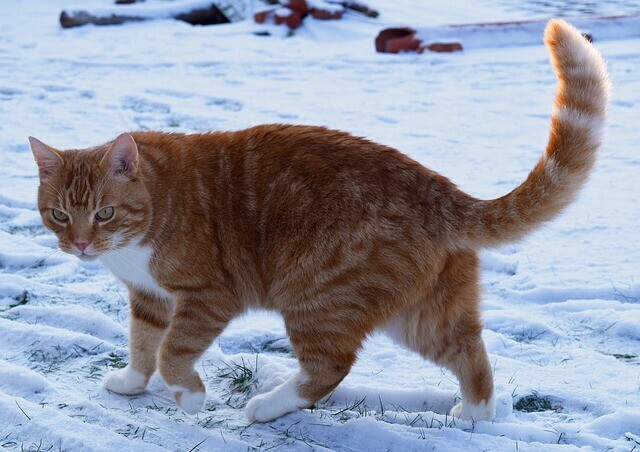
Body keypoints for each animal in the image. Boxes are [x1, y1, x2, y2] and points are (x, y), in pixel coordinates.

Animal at [30, 20, 608, 424]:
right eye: (59, 214)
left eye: (103, 212)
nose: (80, 245)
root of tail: (439, 190)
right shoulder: (149, 297)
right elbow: (143, 342)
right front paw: (132, 381)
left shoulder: (207, 296)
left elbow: (172, 350)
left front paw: (188, 396)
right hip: (422, 313)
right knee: (469, 351)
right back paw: (477, 414)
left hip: (314, 294)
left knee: (331, 365)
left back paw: (266, 407)